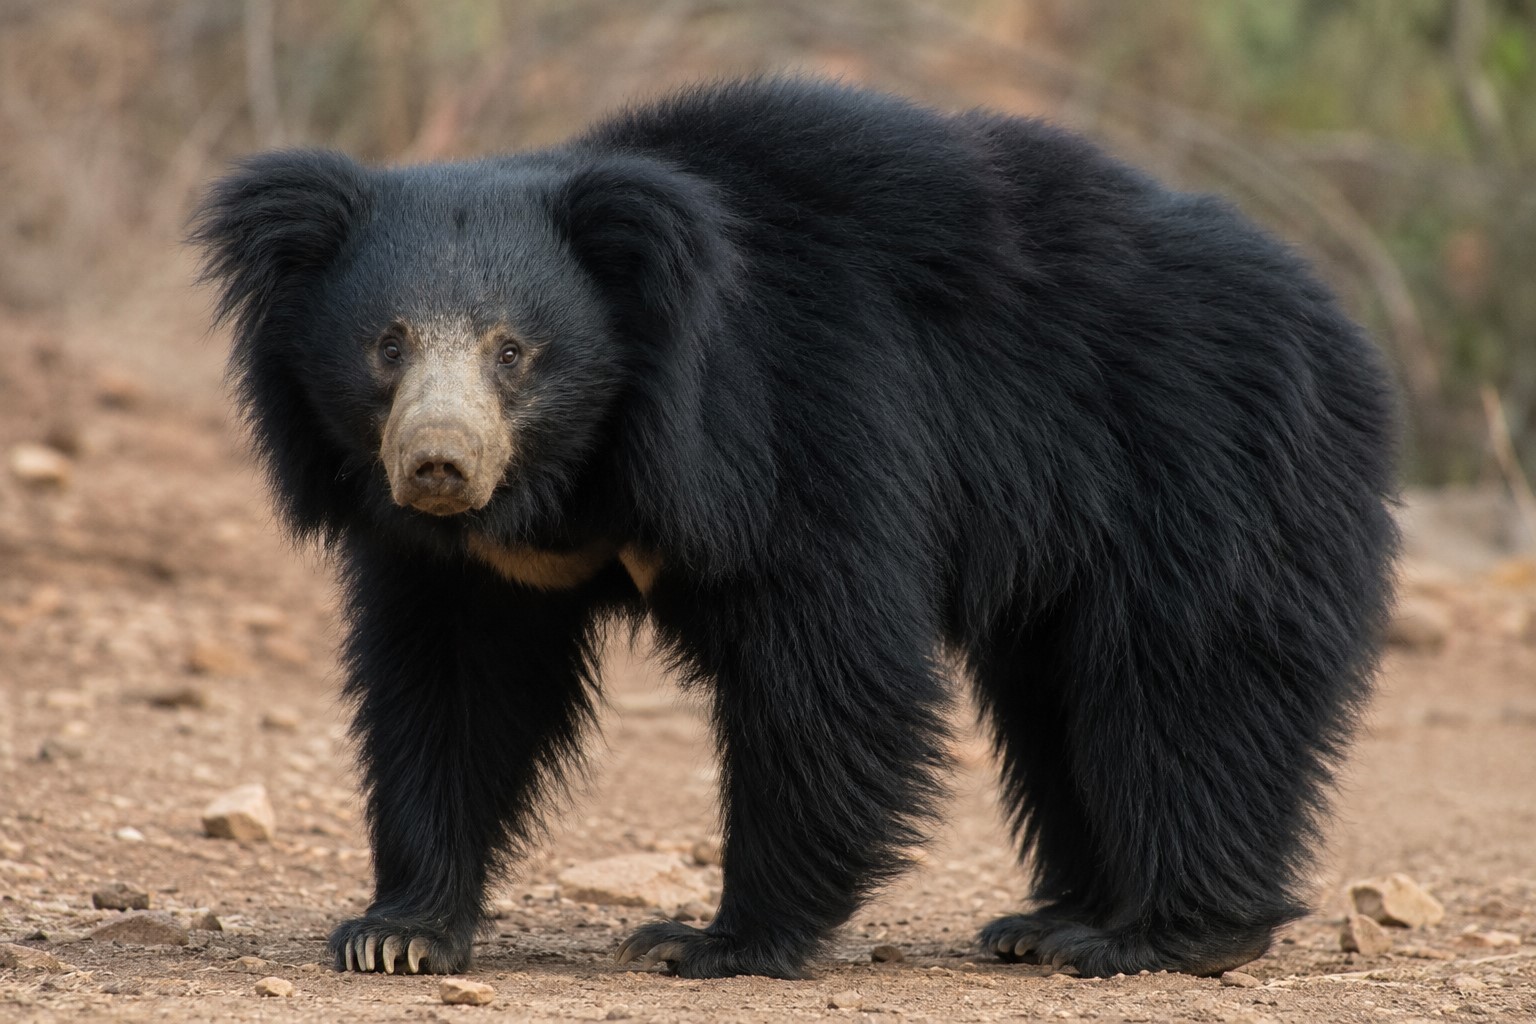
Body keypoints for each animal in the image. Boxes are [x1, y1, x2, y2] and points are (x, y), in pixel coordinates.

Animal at [191, 78, 1399, 980]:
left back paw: (1160, 934)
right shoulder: (479, 566)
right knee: (1059, 691)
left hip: (1201, 467)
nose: (438, 465)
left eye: (512, 351)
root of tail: (1337, 322)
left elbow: (827, 660)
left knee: (1186, 681)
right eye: (387, 345)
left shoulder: (797, 417)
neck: (577, 469)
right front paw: (397, 931)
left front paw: (710, 940)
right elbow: (453, 684)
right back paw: (1050, 920)